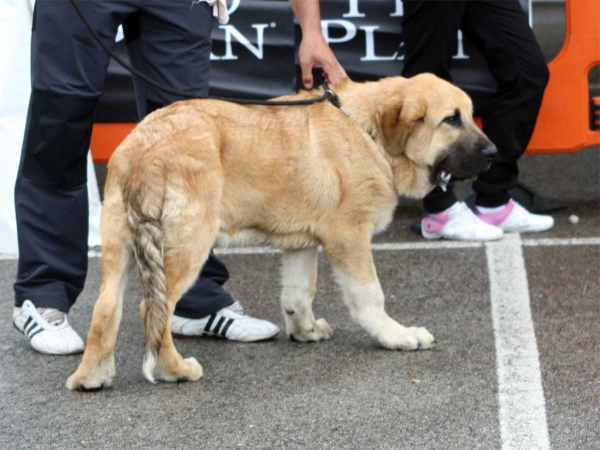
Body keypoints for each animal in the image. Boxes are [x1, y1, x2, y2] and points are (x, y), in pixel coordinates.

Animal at [65, 74, 496, 390]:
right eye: (451, 119)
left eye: (472, 115)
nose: (494, 154)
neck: (367, 131)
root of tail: (144, 146)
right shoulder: (349, 237)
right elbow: (370, 295)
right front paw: (396, 335)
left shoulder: (302, 244)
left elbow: (298, 293)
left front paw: (305, 330)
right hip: (188, 242)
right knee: (152, 309)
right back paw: (175, 369)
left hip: (121, 245)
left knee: (107, 307)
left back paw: (91, 376)